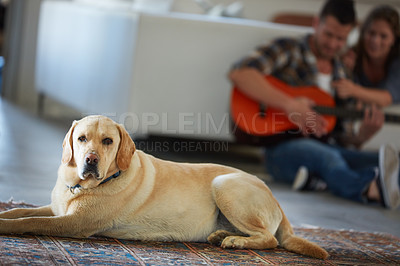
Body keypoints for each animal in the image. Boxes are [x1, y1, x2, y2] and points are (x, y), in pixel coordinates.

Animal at [0, 115, 328, 258]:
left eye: (107, 140)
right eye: (81, 138)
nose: (91, 160)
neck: (81, 185)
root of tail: (277, 200)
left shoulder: (73, 222)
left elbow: (29, 221)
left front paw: (7, 228)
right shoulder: (58, 209)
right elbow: (20, 212)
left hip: (225, 185)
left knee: (269, 239)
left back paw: (236, 241)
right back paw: (222, 234)